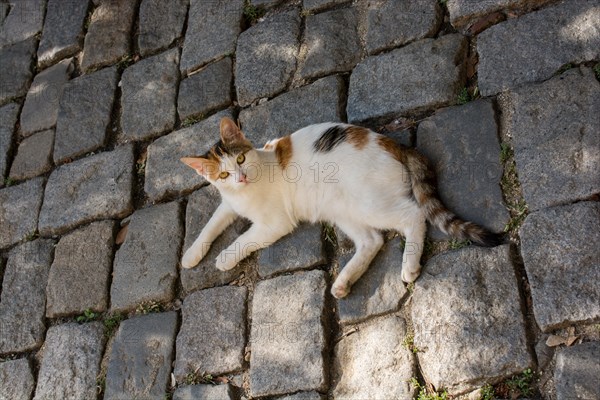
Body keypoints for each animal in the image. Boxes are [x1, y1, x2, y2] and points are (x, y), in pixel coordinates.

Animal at [179, 115, 502, 296]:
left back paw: (409, 266)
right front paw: (191, 255)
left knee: (414, 215)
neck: (245, 193)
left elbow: (244, 239)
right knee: (372, 241)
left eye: (241, 159)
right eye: (223, 175)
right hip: (341, 210)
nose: (241, 177)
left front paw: (224, 258)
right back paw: (343, 282)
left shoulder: (274, 223)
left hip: (368, 203)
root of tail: (396, 144)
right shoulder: (228, 204)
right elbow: (209, 226)